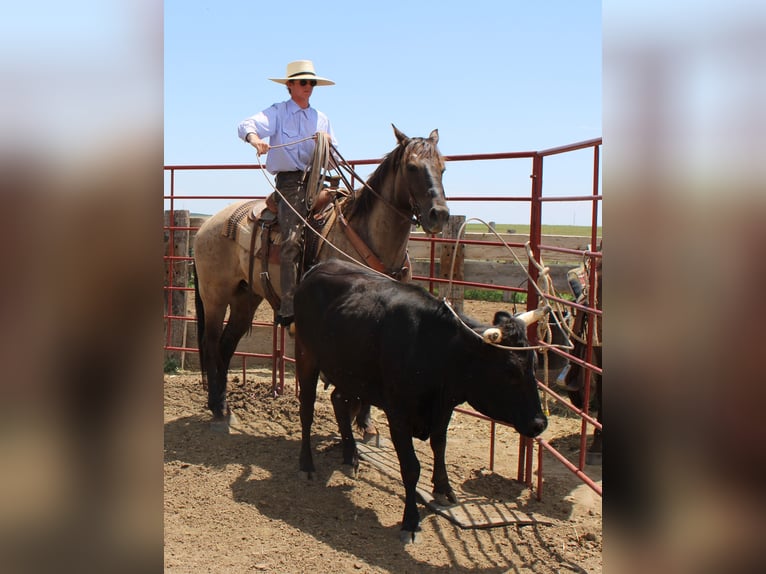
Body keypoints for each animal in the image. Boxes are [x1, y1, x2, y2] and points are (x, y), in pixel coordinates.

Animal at [195, 126, 452, 432]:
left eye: (443, 168)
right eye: (412, 167)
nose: (439, 214)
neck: (367, 238)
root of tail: (207, 224)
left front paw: (365, 422)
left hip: (245, 298)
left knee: (226, 346)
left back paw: (224, 406)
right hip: (214, 297)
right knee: (211, 345)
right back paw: (215, 406)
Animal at [294, 260, 552, 544]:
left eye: (534, 366)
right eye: (510, 371)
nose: (539, 423)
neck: (435, 348)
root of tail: (318, 268)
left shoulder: (444, 408)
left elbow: (440, 446)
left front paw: (443, 488)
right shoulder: (398, 414)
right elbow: (410, 467)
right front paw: (410, 520)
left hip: (349, 371)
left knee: (339, 401)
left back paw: (350, 457)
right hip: (306, 356)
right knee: (306, 410)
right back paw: (307, 464)